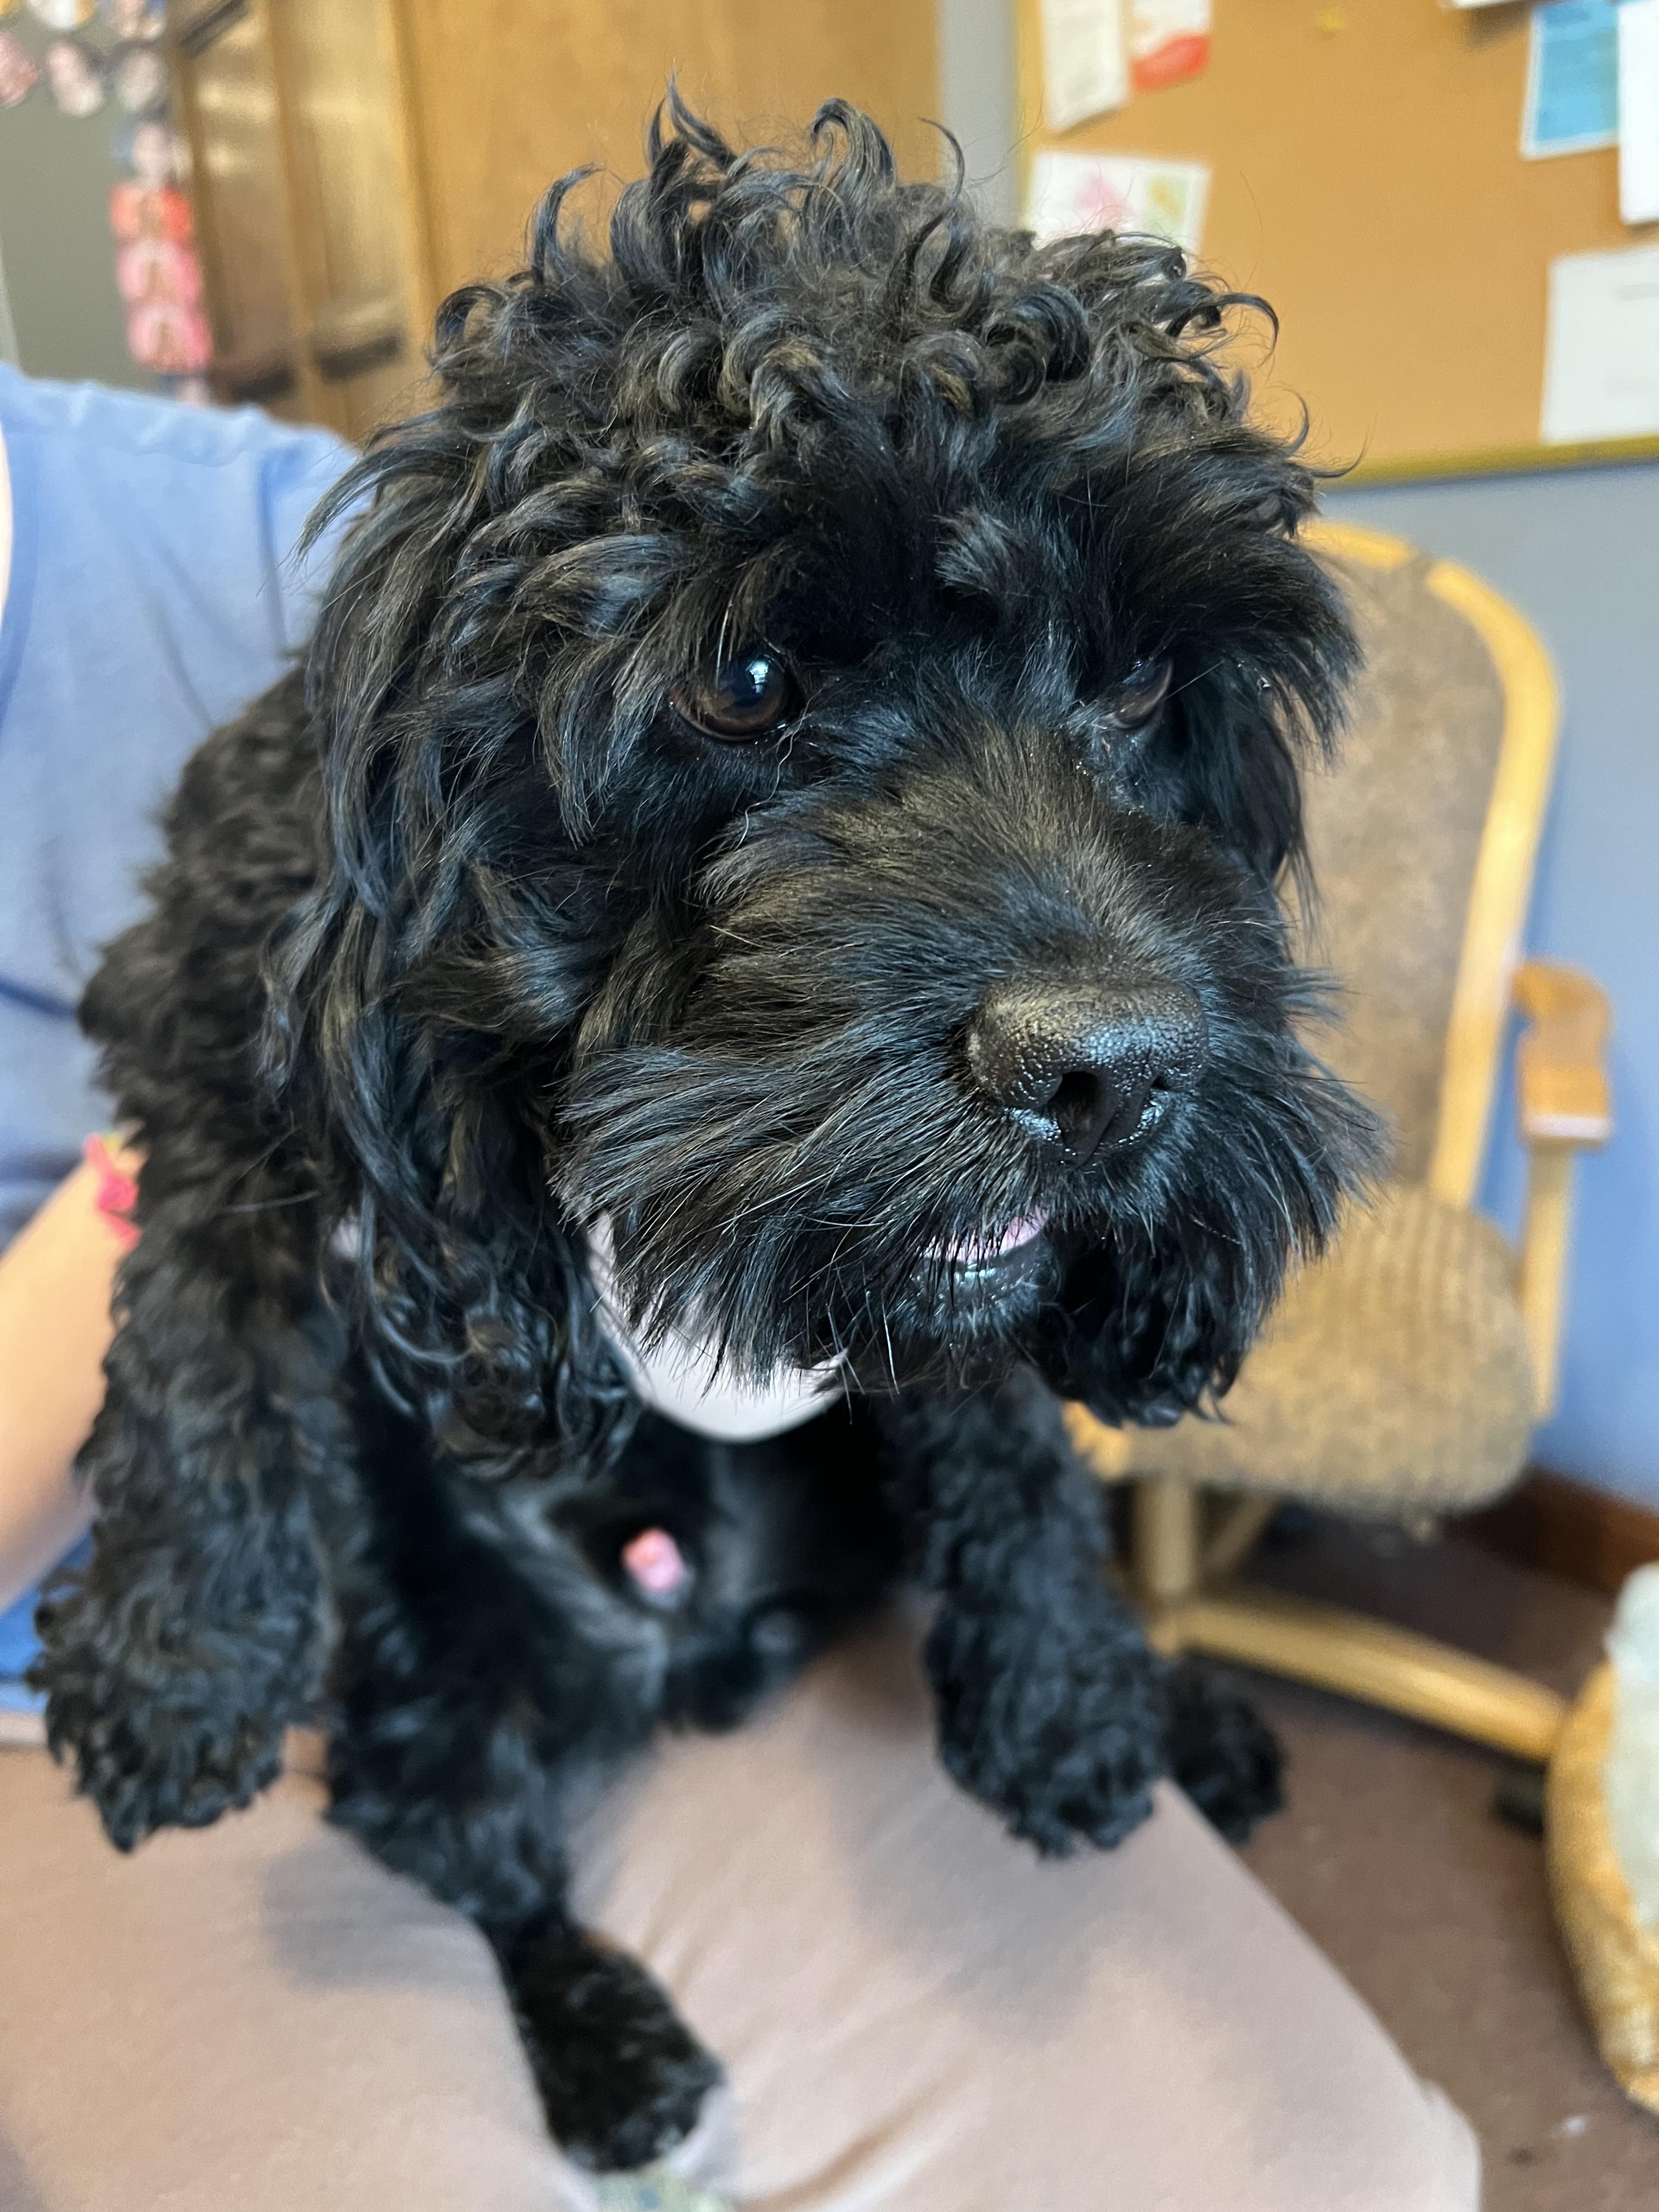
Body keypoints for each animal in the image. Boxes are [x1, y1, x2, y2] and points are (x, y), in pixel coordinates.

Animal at [34, 98, 1379, 2171]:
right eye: (745, 679)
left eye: (1148, 681)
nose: (1116, 1070)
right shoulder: (213, 997)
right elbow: (196, 1293)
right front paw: (175, 1649)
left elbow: (1000, 1412)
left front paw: (1069, 1686)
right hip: (442, 1686)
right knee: (478, 1864)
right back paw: (610, 2049)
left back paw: (1178, 1716)